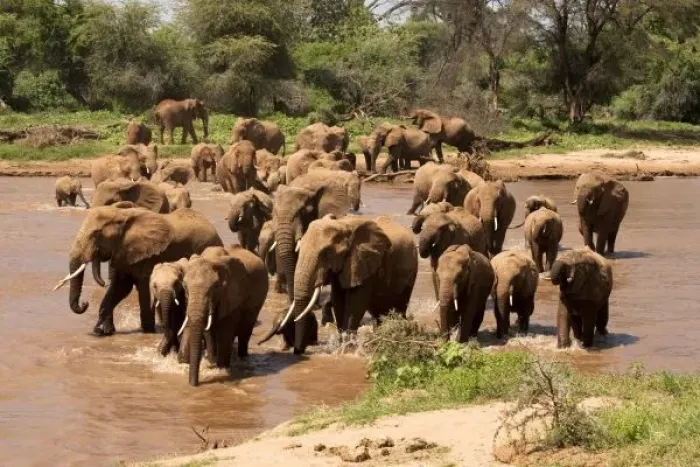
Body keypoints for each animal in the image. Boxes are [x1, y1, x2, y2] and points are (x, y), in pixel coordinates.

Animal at [53, 205, 223, 336]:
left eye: (95, 234)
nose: (85, 303)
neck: (121, 215)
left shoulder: (149, 255)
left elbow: (142, 288)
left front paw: (148, 331)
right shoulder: (123, 251)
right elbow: (120, 287)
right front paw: (103, 332)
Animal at [184, 245, 268, 386]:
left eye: (216, 286)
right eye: (185, 287)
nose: (193, 384)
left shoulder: (233, 295)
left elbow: (225, 333)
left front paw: (221, 369)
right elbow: (209, 333)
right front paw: (212, 363)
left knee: (245, 332)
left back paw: (242, 359)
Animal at [260, 215, 418, 354]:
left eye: (326, 253)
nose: (298, 350)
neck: (343, 224)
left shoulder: (364, 263)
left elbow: (356, 304)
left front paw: (347, 350)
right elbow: (338, 300)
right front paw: (341, 347)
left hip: (410, 273)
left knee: (399, 308)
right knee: (380, 313)